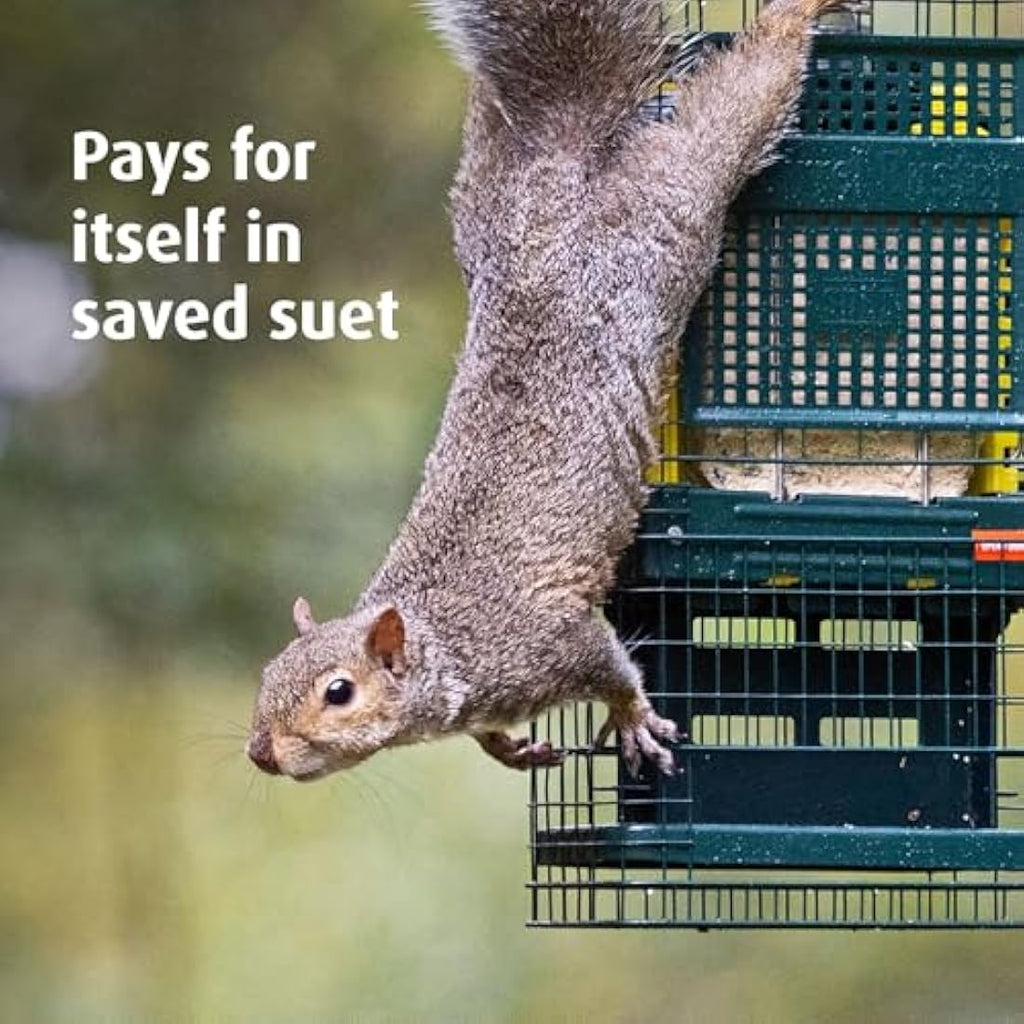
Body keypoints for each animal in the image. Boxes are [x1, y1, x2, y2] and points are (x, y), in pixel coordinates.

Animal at [248, 0, 849, 781]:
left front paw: (632, 721)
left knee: (734, 110)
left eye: (338, 692)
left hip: (673, 207)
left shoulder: (550, 642)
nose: (259, 751)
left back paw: (792, 19)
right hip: (484, 193)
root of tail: (557, 182)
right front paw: (507, 745)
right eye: (266, 675)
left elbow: (613, 669)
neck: (446, 644)